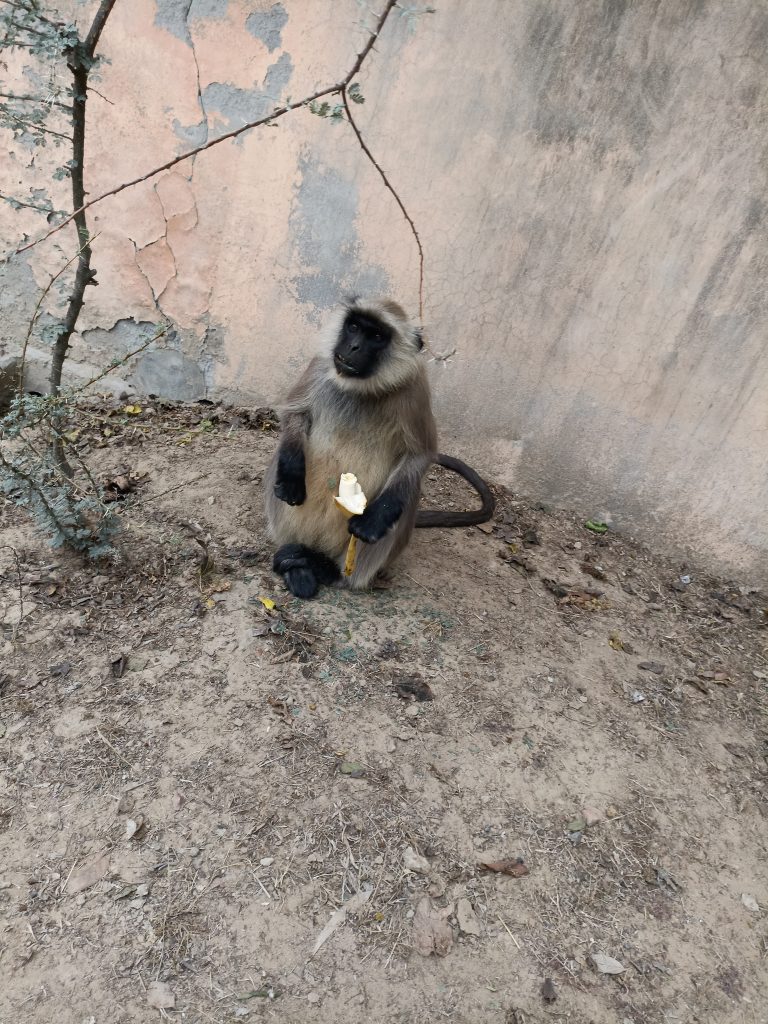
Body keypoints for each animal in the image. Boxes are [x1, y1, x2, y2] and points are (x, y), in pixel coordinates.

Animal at [264, 294, 493, 598]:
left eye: (376, 336)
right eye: (353, 327)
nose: (353, 346)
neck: (362, 387)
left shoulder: (415, 389)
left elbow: (420, 454)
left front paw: (374, 520)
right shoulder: (320, 366)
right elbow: (295, 415)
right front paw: (291, 474)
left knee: (407, 494)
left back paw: (329, 571)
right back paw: (297, 565)